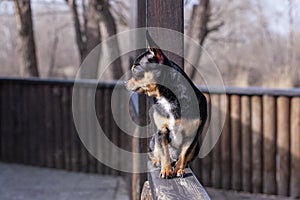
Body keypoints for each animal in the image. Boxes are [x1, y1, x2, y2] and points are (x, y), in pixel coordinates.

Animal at [125, 31, 207, 178]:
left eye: (135, 69)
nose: (124, 83)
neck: (168, 97)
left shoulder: (192, 135)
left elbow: (184, 154)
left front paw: (179, 170)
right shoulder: (161, 132)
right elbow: (165, 153)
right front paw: (166, 170)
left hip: (196, 146)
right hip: (153, 141)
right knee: (154, 153)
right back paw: (157, 162)